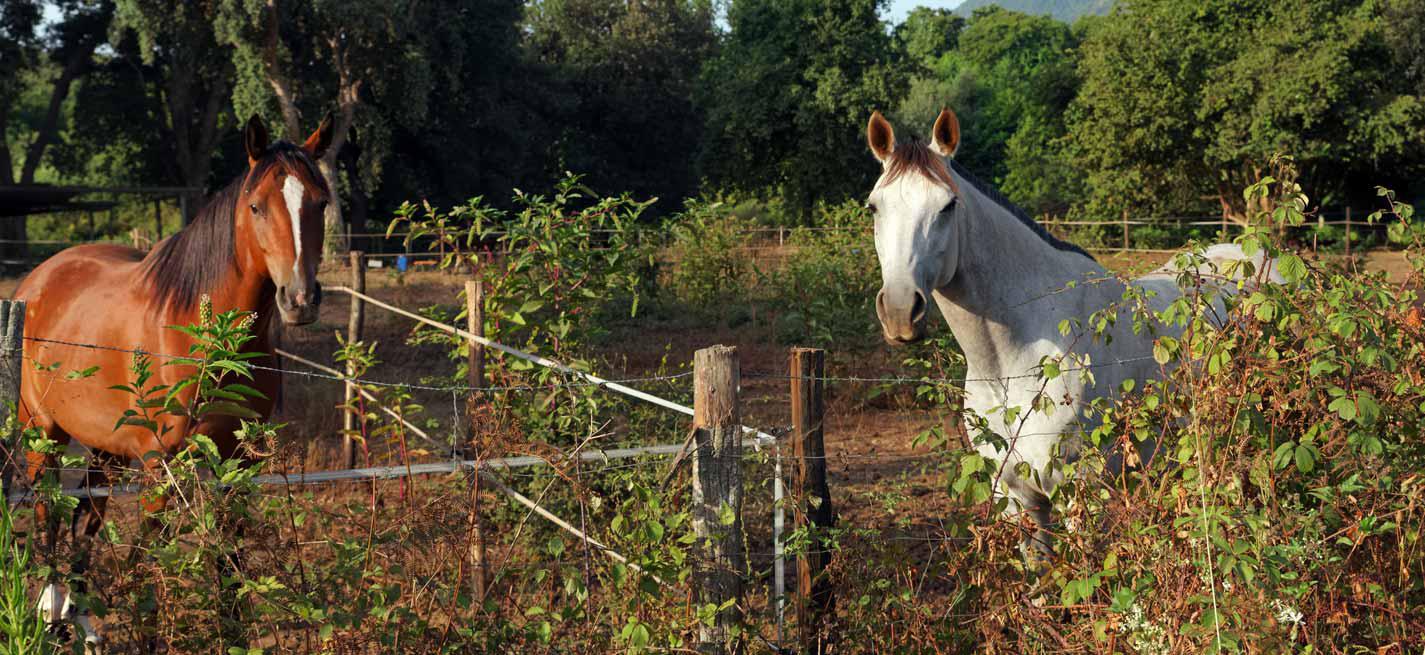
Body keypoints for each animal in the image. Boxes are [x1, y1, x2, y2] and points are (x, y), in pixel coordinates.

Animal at [14, 113, 330, 649]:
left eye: (321, 202)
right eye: (256, 206)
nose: (300, 298)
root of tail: (39, 277)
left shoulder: (238, 463)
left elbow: (229, 561)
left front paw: (235, 637)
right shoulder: (161, 465)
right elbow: (148, 566)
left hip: (106, 448)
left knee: (83, 519)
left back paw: (86, 628)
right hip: (43, 432)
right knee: (47, 516)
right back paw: (52, 619)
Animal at [860, 108, 1288, 558]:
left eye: (948, 205)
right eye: (874, 207)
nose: (900, 310)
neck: (1013, 364)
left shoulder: (1079, 492)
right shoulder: (1018, 499)